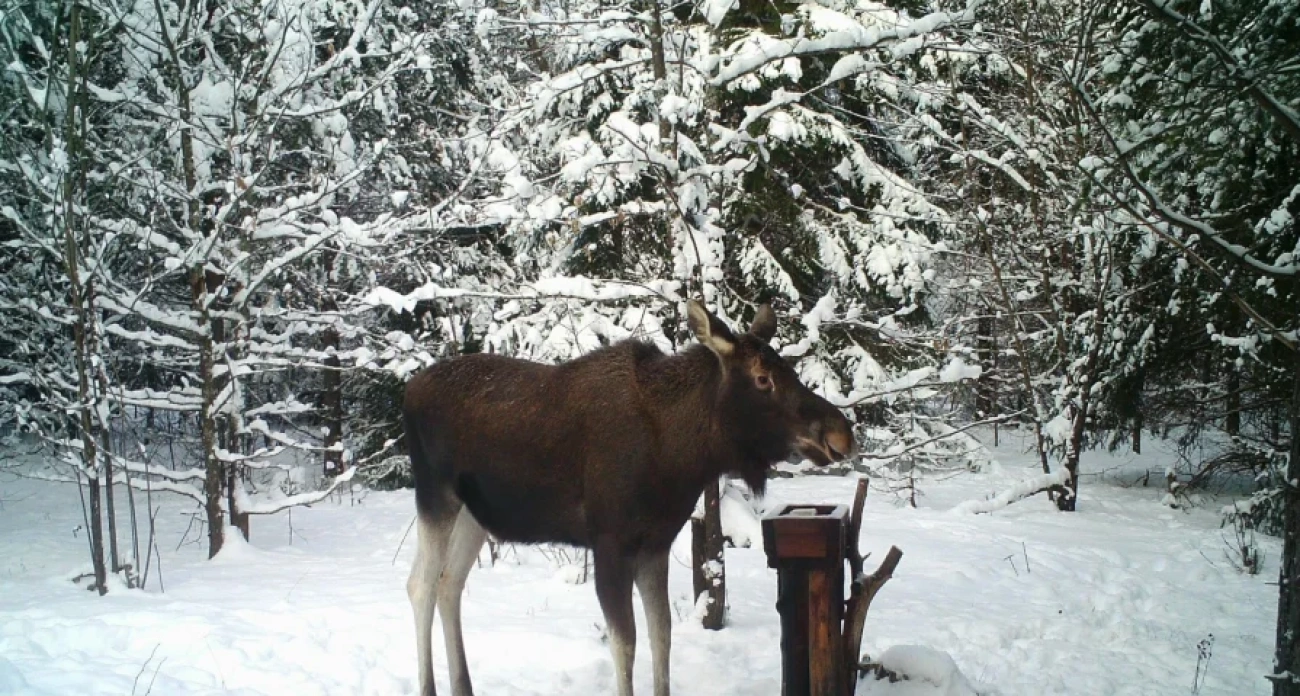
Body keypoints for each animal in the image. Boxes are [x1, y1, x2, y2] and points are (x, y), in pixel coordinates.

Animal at [400, 301, 857, 696]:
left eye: (790, 370)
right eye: (763, 378)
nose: (840, 433)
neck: (679, 454)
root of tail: (409, 390)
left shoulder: (655, 544)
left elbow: (662, 633)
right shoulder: (610, 544)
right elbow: (626, 642)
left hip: (473, 513)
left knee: (449, 583)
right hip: (435, 495)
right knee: (420, 584)